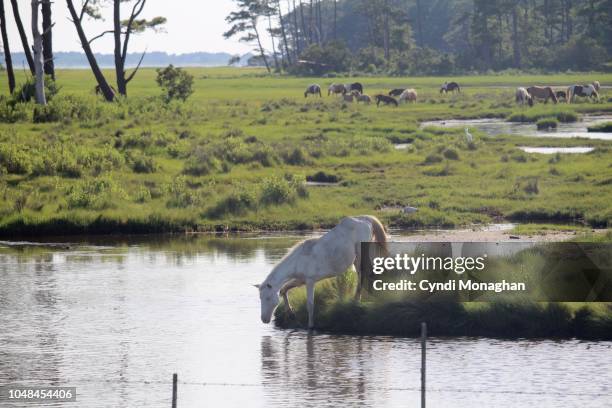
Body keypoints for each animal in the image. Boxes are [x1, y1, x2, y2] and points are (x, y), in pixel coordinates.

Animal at [256, 217, 384, 328]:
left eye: (267, 298)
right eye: (260, 298)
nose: (264, 319)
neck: (299, 259)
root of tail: (364, 220)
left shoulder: (310, 281)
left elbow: (310, 305)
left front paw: (310, 326)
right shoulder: (300, 280)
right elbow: (284, 289)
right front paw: (290, 312)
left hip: (359, 257)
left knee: (362, 275)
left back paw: (357, 300)